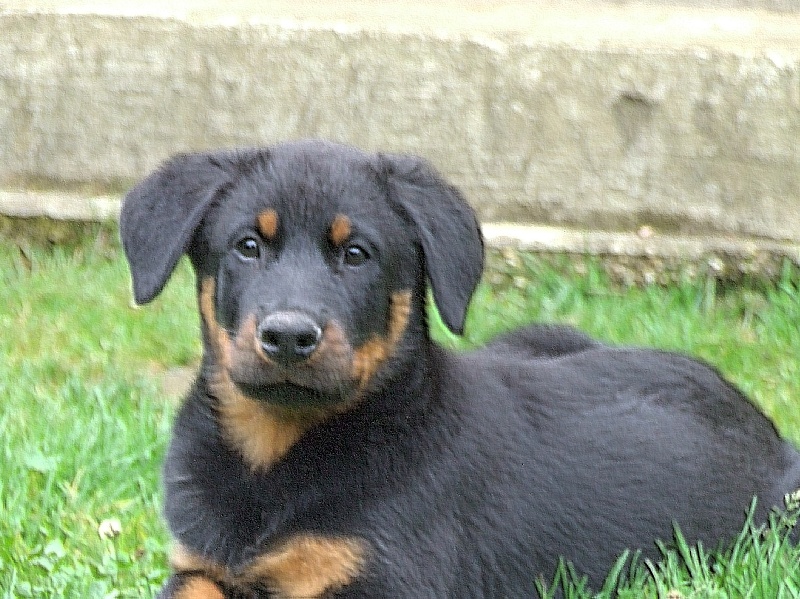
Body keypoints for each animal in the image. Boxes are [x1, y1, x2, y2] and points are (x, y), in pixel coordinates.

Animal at [120, 142, 800, 599]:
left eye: (357, 255)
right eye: (247, 246)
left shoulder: (385, 577)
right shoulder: (197, 567)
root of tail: (769, 434)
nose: (288, 335)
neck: (276, 453)